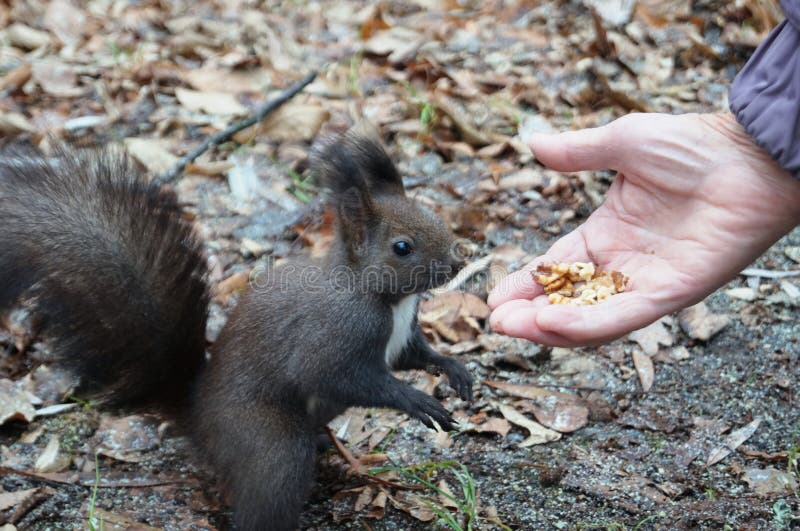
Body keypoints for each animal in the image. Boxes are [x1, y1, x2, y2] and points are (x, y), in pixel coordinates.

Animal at [0, 131, 473, 530]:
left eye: (433, 213)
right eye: (402, 247)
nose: (457, 261)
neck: (385, 299)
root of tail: (198, 420)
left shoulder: (402, 337)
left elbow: (417, 356)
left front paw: (454, 370)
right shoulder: (335, 333)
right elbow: (333, 375)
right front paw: (416, 401)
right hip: (270, 442)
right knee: (268, 490)